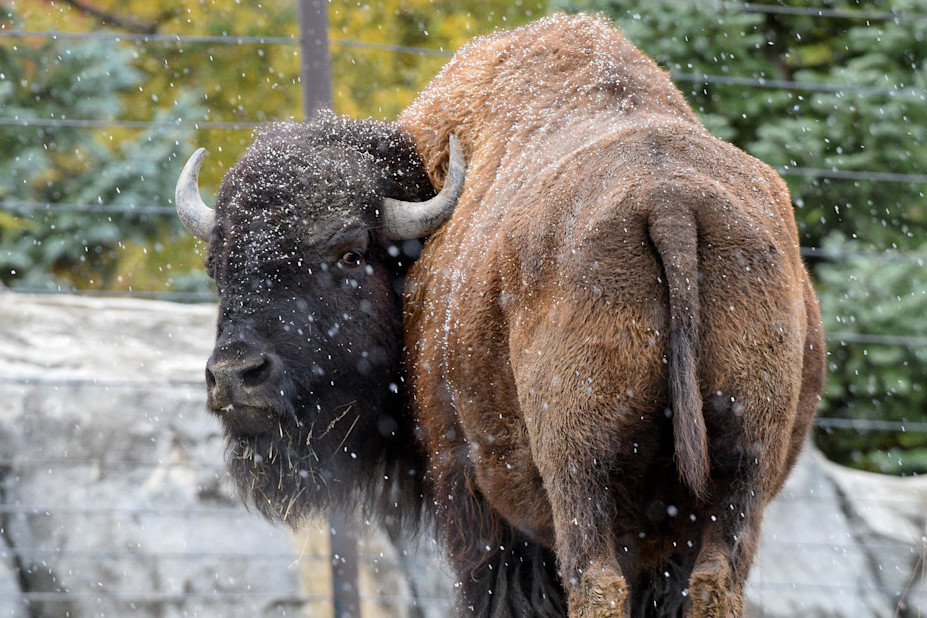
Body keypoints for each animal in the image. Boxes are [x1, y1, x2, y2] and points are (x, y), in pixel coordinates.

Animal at [176, 14, 825, 618]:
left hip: (581, 474)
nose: (235, 375)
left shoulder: (476, 502)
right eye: (218, 263)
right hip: (740, 475)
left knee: (595, 579)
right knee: (715, 581)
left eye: (351, 253)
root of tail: (668, 201)